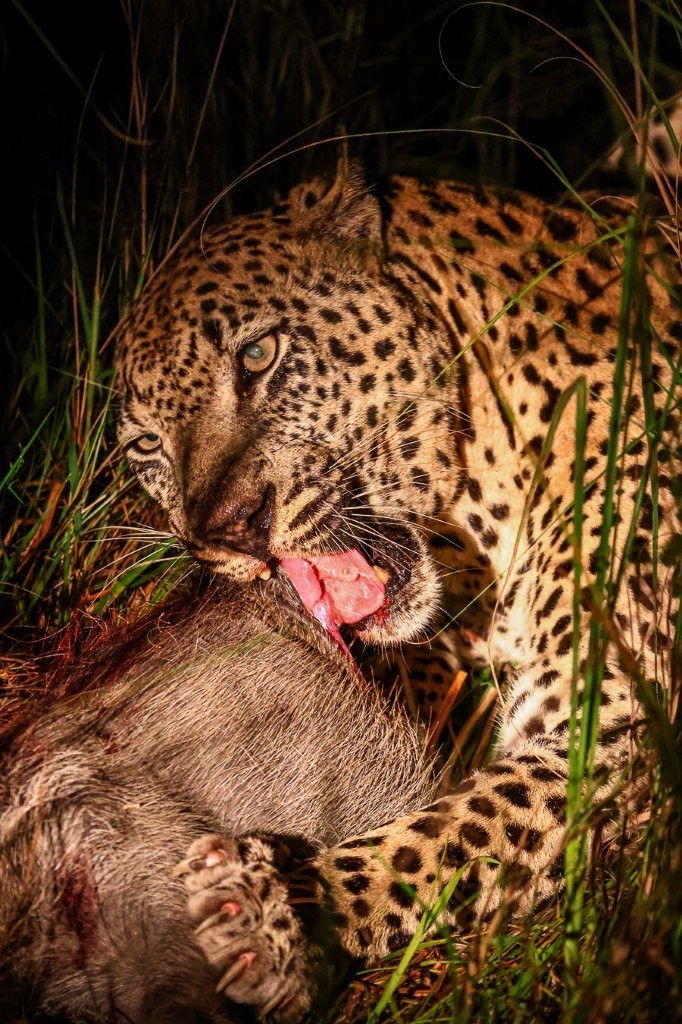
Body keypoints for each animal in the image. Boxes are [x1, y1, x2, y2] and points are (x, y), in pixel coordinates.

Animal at [116, 161, 680, 1019]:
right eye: (146, 445)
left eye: (259, 355)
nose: (225, 532)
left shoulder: (611, 728)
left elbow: (442, 842)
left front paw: (280, 914)